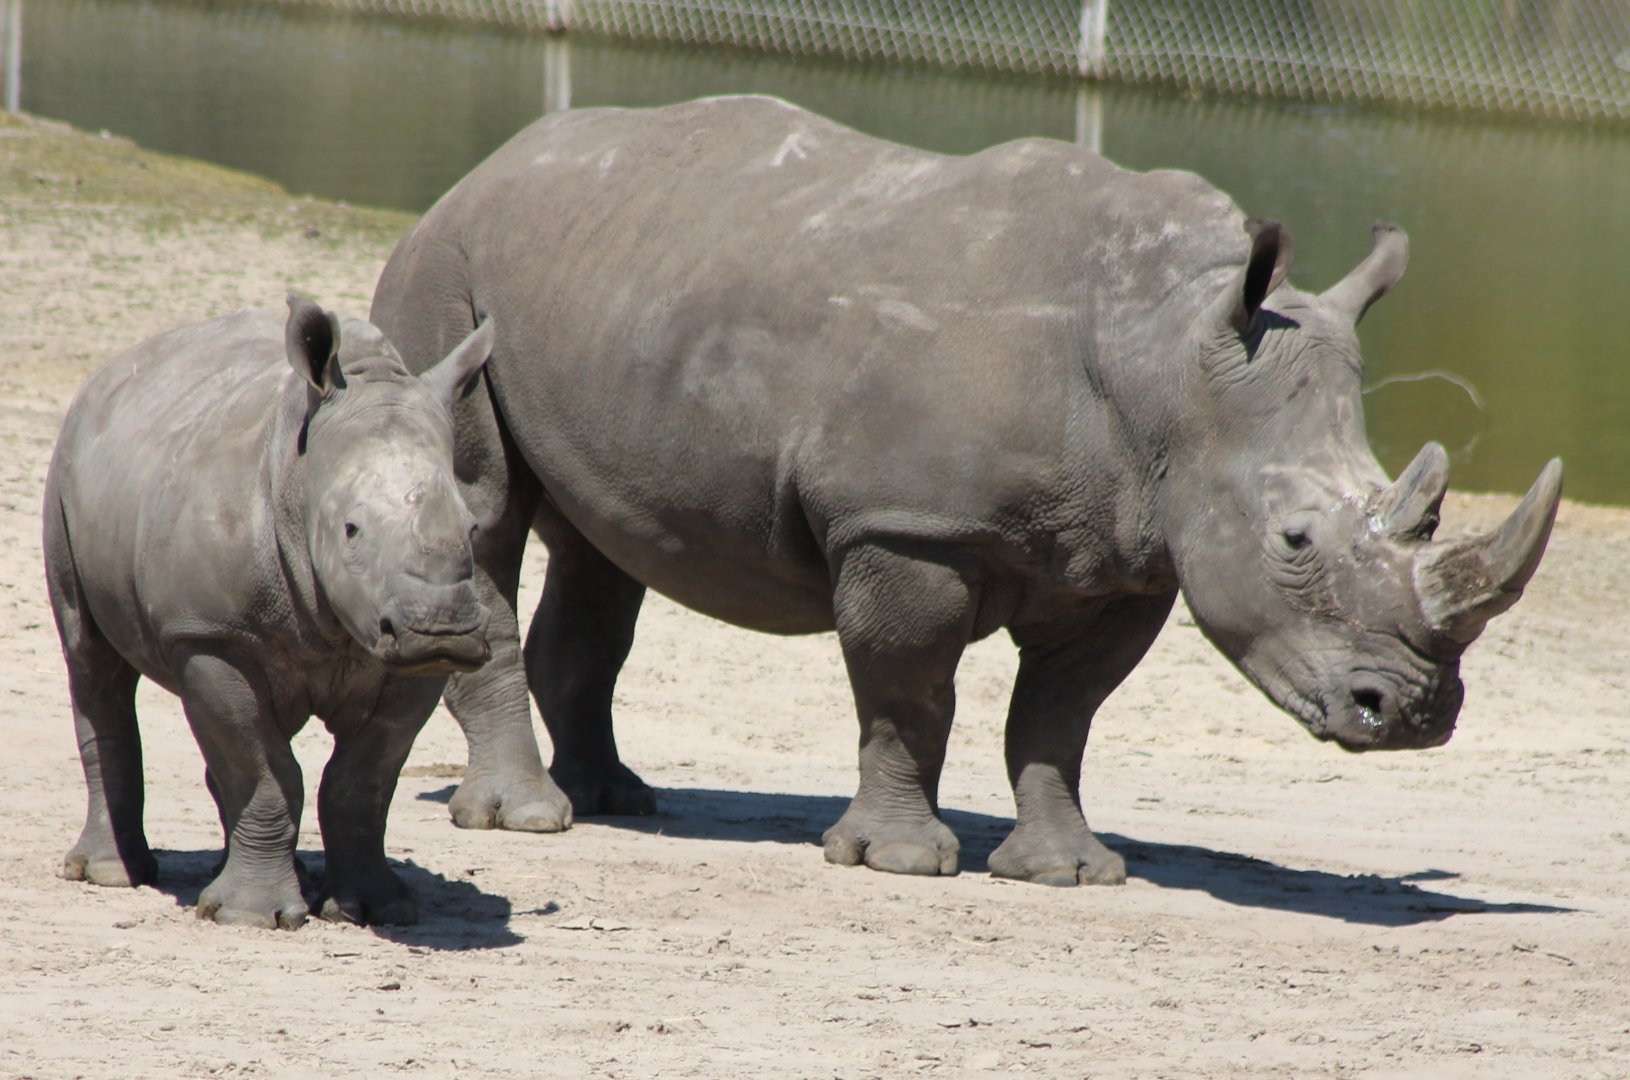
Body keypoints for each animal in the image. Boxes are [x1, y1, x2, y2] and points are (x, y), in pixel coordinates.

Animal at [45, 298, 496, 927]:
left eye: (473, 530)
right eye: (350, 529)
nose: (442, 631)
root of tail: (108, 375)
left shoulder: (408, 666)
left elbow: (363, 779)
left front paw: (374, 909)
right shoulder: (213, 635)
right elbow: (263, 770)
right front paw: (249, 918)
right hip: (65, 475)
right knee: (92, 662)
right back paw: (111, 875)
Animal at [370, 96, 1561, 885]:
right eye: (1296, 541)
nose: (1413, 714)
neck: (1166, 357)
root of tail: (477, 174)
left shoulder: (1129, 550)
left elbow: (1063, 712)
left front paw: (1069, 873)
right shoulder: (907, 528)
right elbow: (909, 691)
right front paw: (897, 861)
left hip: (610, 293)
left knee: (600, 544)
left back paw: (621, 799)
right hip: (443, 280)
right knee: (485, 513)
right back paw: (530, 821)